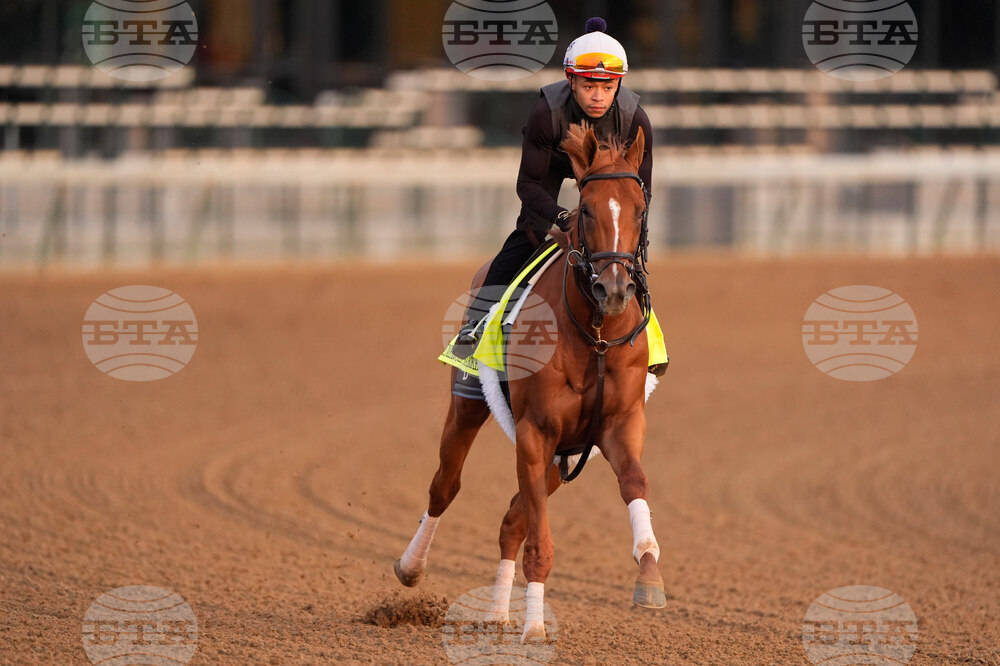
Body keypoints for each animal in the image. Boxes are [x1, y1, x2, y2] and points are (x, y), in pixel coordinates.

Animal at [394, 123, 664, 643]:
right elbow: (540, 540)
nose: (614, 288)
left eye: (639, 210)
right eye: (586, 209)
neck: (595, 338)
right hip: (471, 409)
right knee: (445, 487)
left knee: (511, 520)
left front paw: (649, 574)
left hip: (565, 456)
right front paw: (536, 628)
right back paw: (412, 566)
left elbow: (635, 481)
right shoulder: (535, 432)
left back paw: (499, 613)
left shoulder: (618, 425)